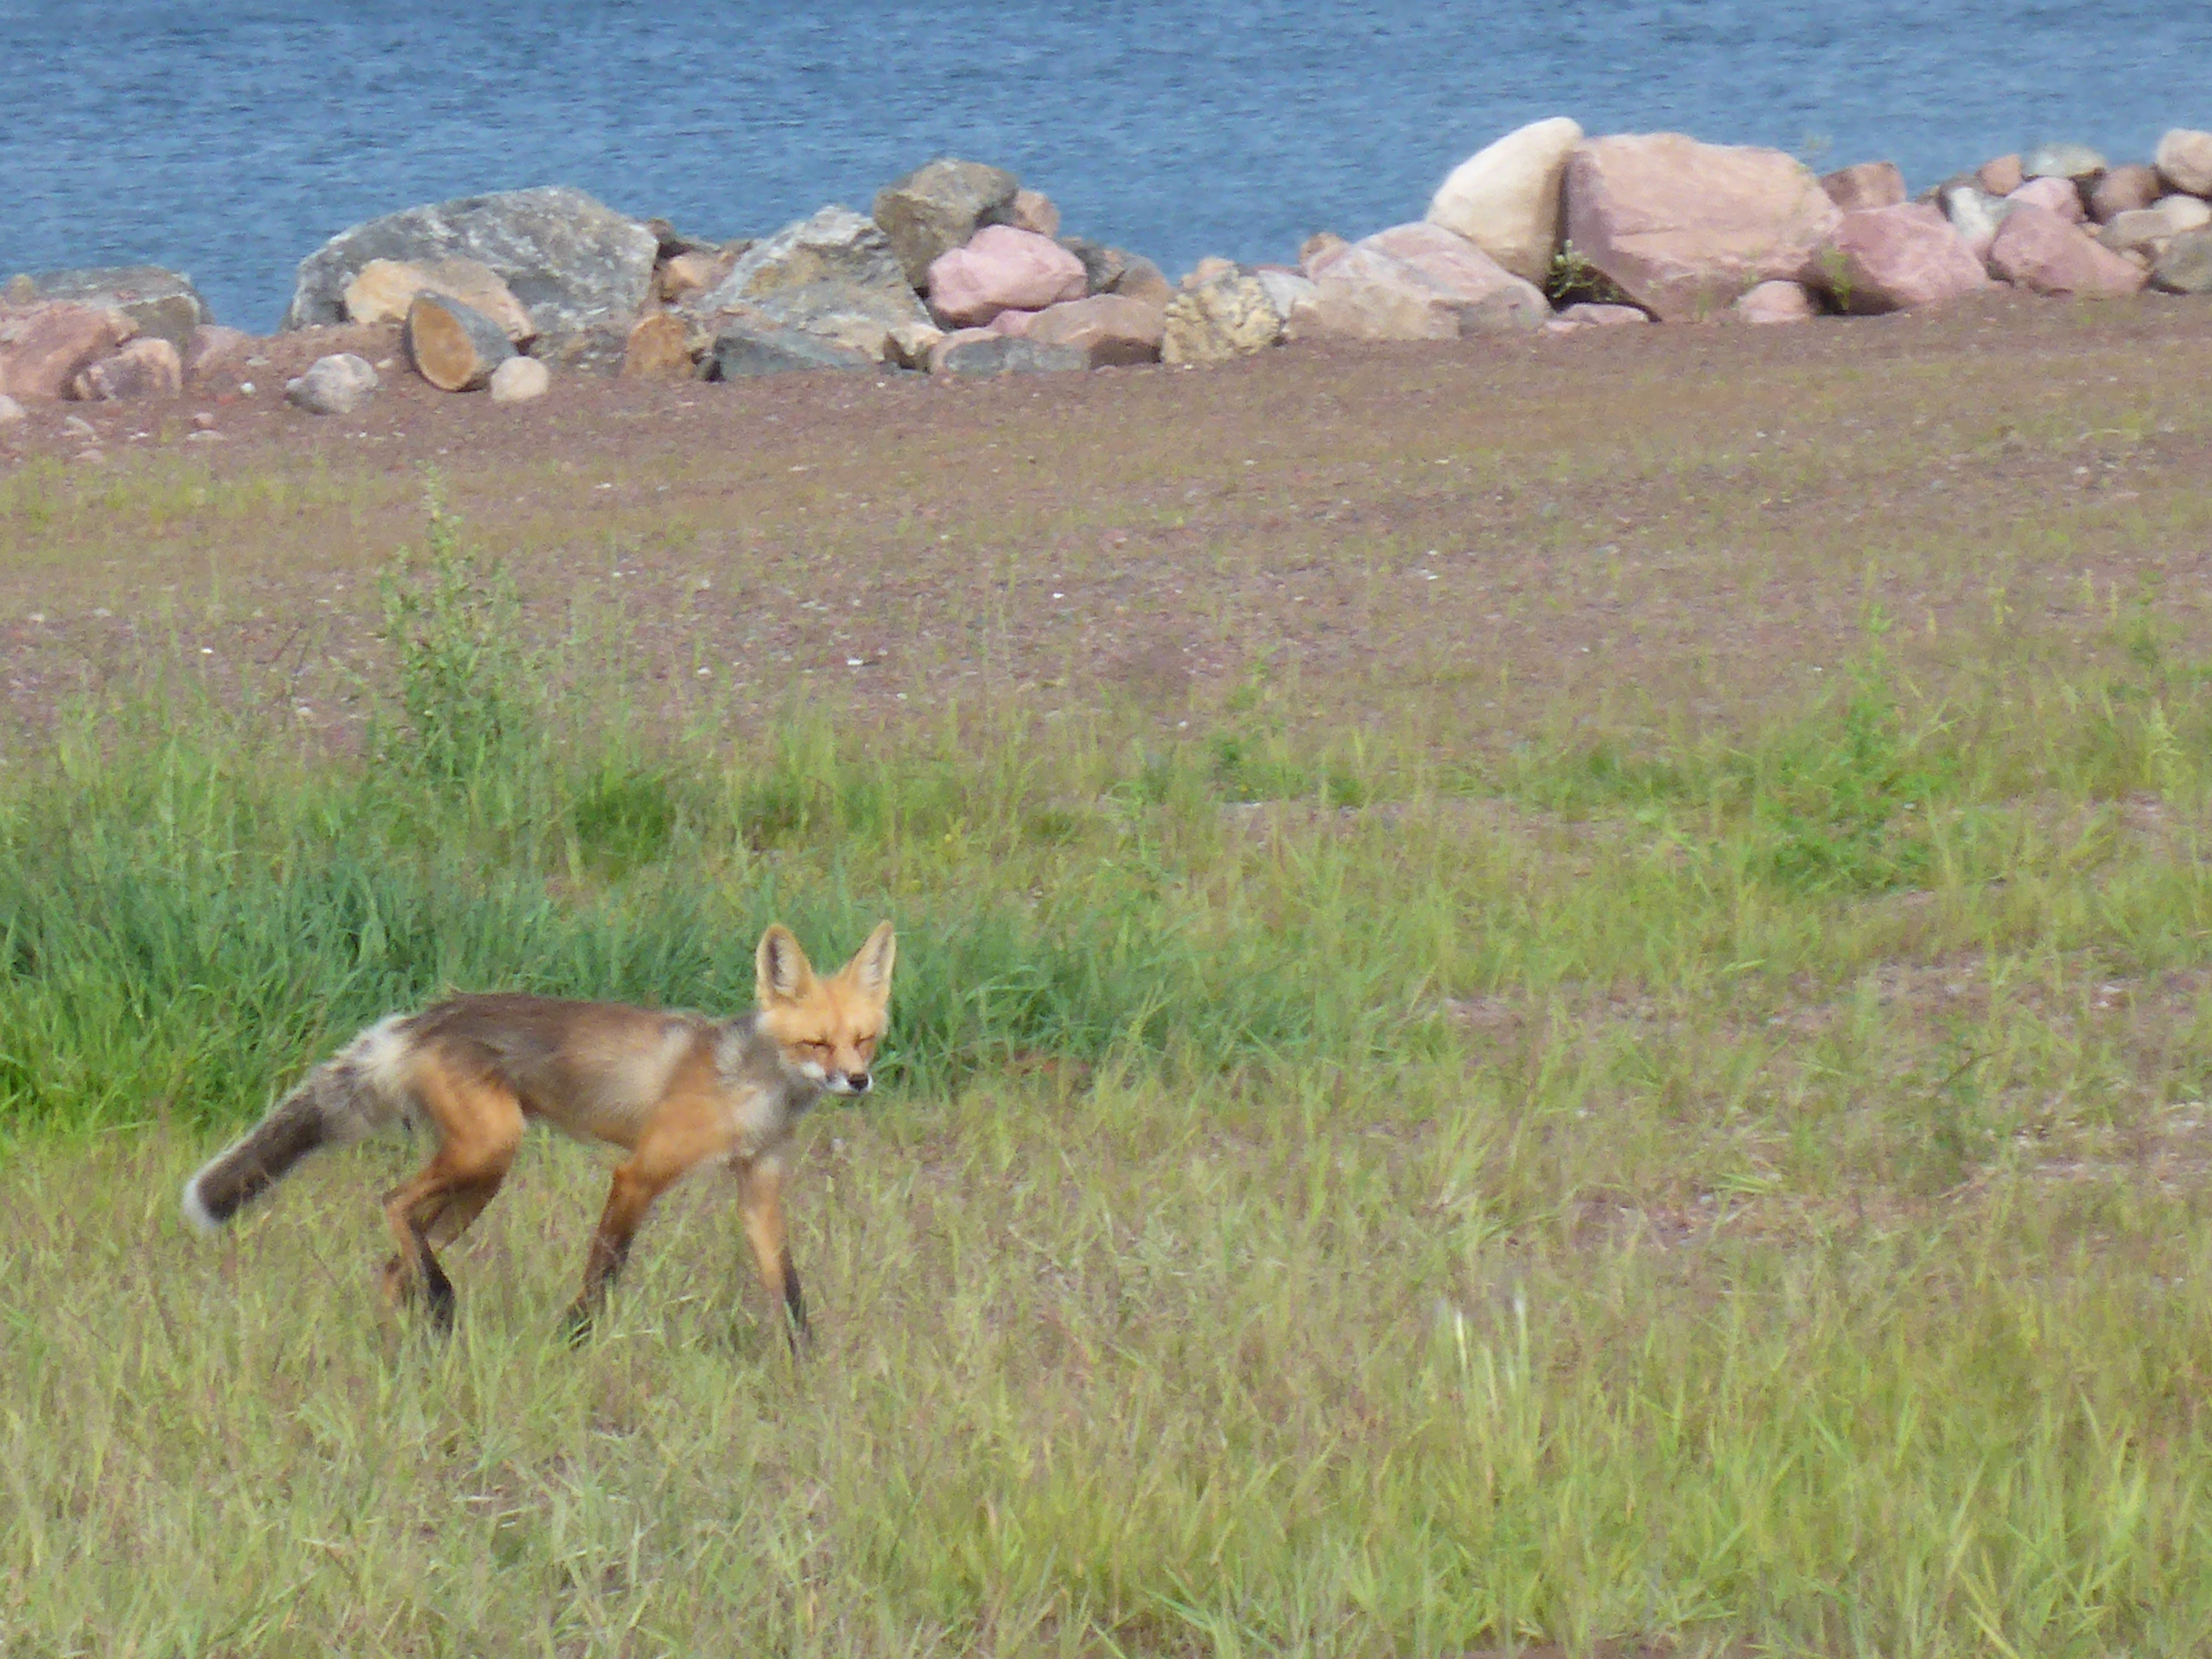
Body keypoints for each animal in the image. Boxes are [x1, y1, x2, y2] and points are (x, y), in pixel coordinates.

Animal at [179, 915, 889, 1354]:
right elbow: (603, 1274)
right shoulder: (639, 1174)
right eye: (816, 1043)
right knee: (391, 1204)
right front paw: (570, 1344)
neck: (748, 1086)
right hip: (490, 1152)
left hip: (477, 1183)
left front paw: (807, 1366)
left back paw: (408, 1343)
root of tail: (424, 1019)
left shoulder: (759, 1185)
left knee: (394, 1259)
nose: (857, 1082)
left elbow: (788, 1290)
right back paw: (438, 1305)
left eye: (864, 1039)